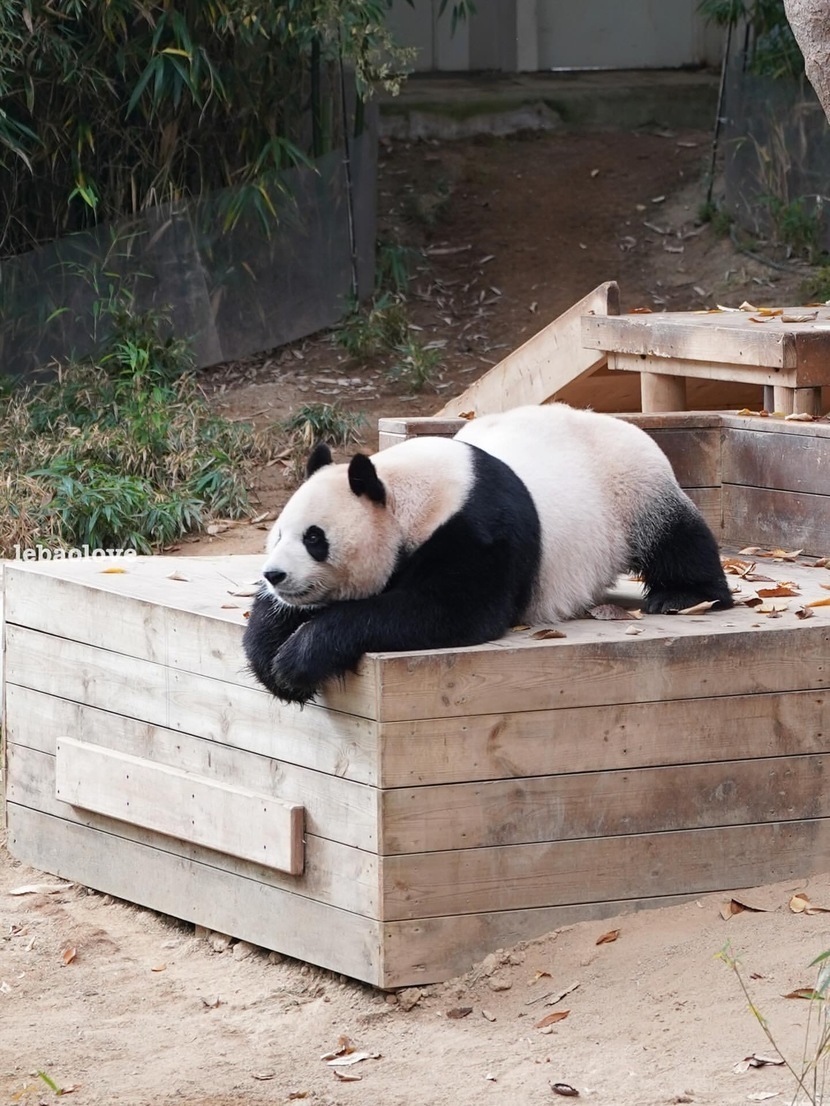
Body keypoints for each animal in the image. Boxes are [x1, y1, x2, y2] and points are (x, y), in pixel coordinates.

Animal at [243, 403, 733, 705]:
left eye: (315, 538)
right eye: (279, 534)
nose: (275, 575)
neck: (408, 492)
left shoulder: (479, 529)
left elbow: (447, 610)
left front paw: (298, 659)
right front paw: (271, 658)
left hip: (631, 487)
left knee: (676, 538)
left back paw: (684, 596)